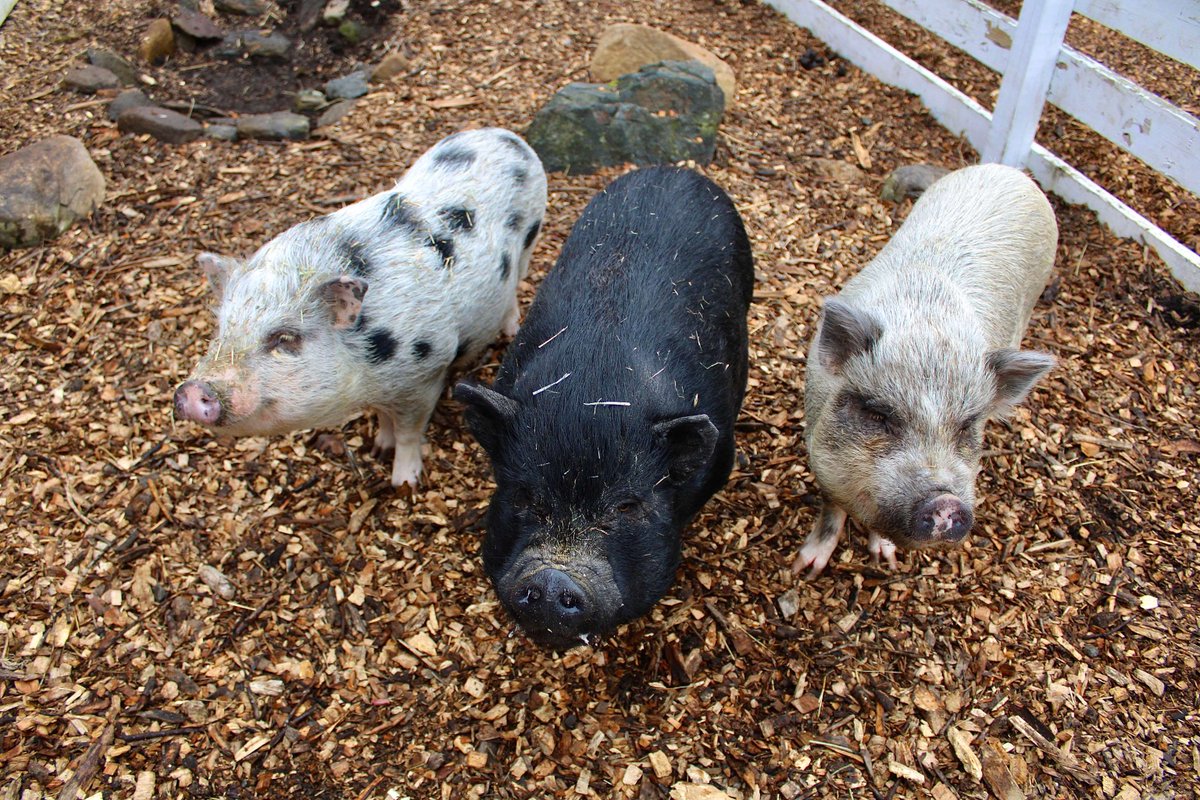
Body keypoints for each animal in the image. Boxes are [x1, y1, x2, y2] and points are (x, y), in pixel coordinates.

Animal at [173, 128, 547, 487]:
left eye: (285, 338)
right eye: (222, 329)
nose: (192, 391)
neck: (368, 369)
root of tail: (505, 136)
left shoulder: (426, 375)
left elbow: (410, 431)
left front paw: (404, 481)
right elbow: (384, 418)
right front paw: (379, 447)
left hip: (532, 234)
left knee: (516, 284)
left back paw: (511, 328)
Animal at [796, 163, 1057, 577]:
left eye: (966, 427)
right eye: (878, 414)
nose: (945, 502)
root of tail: (1009, 170)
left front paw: (885, 559)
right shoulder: (817, 448)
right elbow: (830, 509)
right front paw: (803, 569)